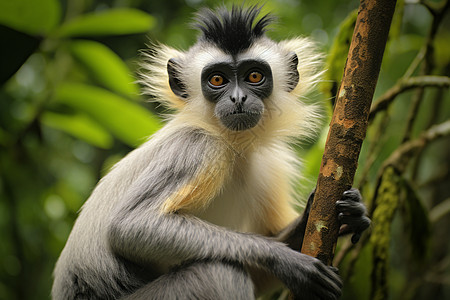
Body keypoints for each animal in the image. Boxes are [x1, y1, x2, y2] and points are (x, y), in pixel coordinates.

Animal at [52, 5, 370, 300]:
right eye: (217, 80)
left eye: (254, 75)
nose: (238, 99)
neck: (234, 145)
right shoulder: (197, 145)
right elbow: (128, 227)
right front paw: (284, 259)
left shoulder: (270, 164)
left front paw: (351, 211)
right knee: (220, 271)